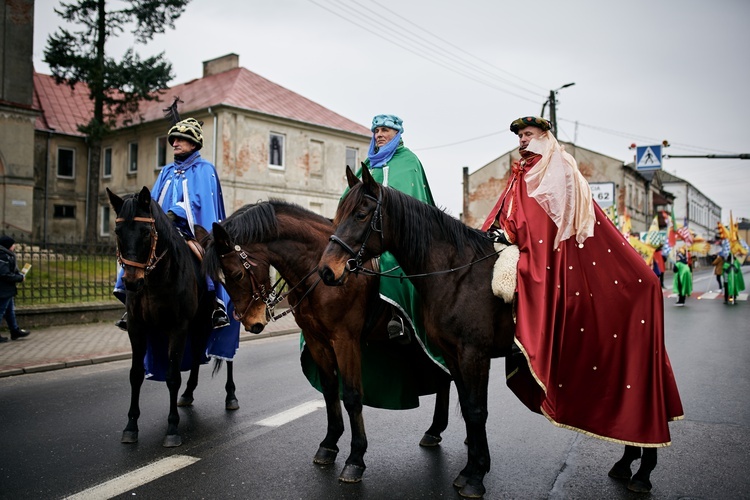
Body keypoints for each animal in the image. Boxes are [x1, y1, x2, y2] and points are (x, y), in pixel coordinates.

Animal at [106, 188, 238, 450]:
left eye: (146, 232)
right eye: (117, 231)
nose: (131, 282)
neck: (156, 279)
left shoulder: (177, 327)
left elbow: (172, 376)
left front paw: (172, 428)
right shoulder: (137, 328)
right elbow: (136, 375)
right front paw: (131, 426)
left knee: (227, 358)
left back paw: (231, 396)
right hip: (198, 325)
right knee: (196, 356)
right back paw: (188, 394)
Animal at [201, 200, 452, 484]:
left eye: (236, 275)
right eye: (220, 279)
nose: (251, 323)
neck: (319, 273)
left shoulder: (345, 340)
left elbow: (352, 396)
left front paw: (356, 458)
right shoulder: (316, 340)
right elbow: (330, 391)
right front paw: (329, 444)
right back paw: (434, 431)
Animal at [318, 167, 664, 496]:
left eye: (361, 214)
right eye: (338, 213)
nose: (326, 271)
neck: (457, 275)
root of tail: (648, 276)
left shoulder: (475, 354)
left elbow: (476, 410)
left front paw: (476, 477)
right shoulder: (453, 354)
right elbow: (468, 406)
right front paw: (469, 471)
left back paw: (644, 473)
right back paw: (626, 463)